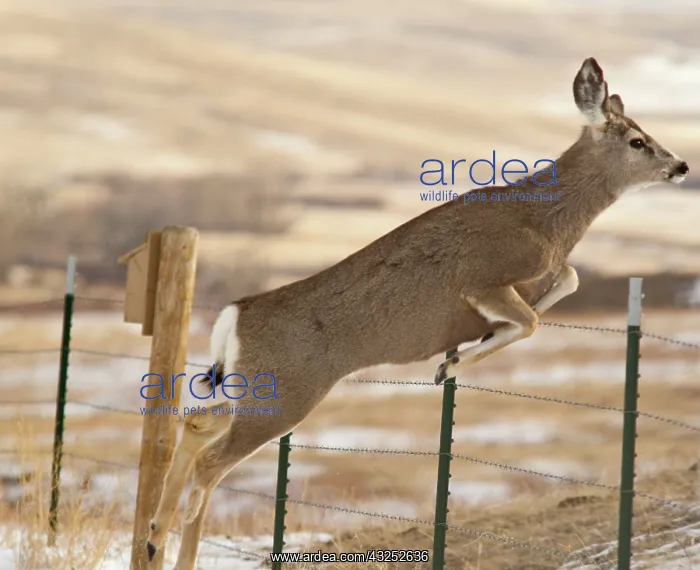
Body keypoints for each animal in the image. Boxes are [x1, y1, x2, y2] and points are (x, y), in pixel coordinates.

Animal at [144, 57, 689, 569]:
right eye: (638, 141)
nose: (681, 166)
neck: (546, 221)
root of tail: (235, 316)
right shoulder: (481, 277)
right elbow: (532, 318)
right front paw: (451, 362)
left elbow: (565, 282)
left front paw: (463, 352)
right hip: (286, 394)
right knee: (211, 463)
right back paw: (168, 535)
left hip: (254, 387)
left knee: (195, 422)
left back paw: (154, 535)